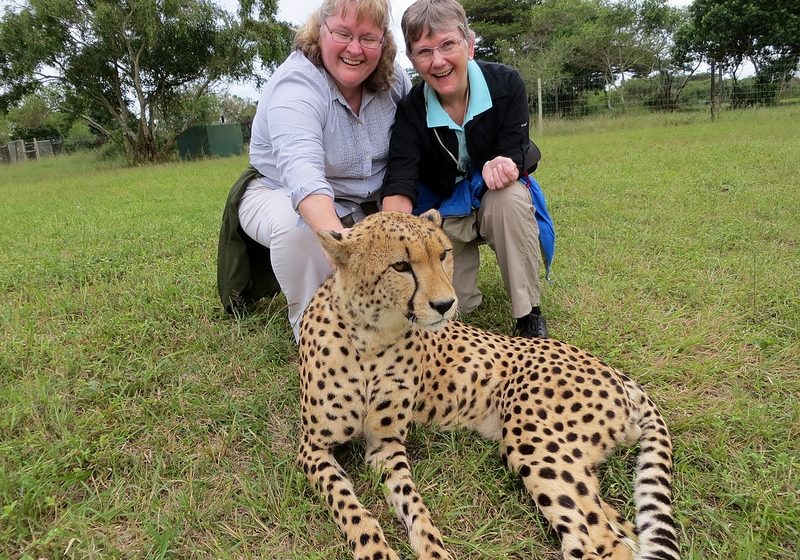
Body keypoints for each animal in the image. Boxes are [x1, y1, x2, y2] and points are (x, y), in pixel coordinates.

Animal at [297, 209, 678, 560]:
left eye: (443, 255)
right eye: (401, 266)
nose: (445, 304)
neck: (370, 338)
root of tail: (616, 371)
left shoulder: (386, 445)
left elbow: (414, 505)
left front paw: (431, 551)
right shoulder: (315, 448)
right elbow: (351, 505)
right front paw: (376, 550)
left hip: (533, 441)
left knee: (601, 541)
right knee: (620, 528)